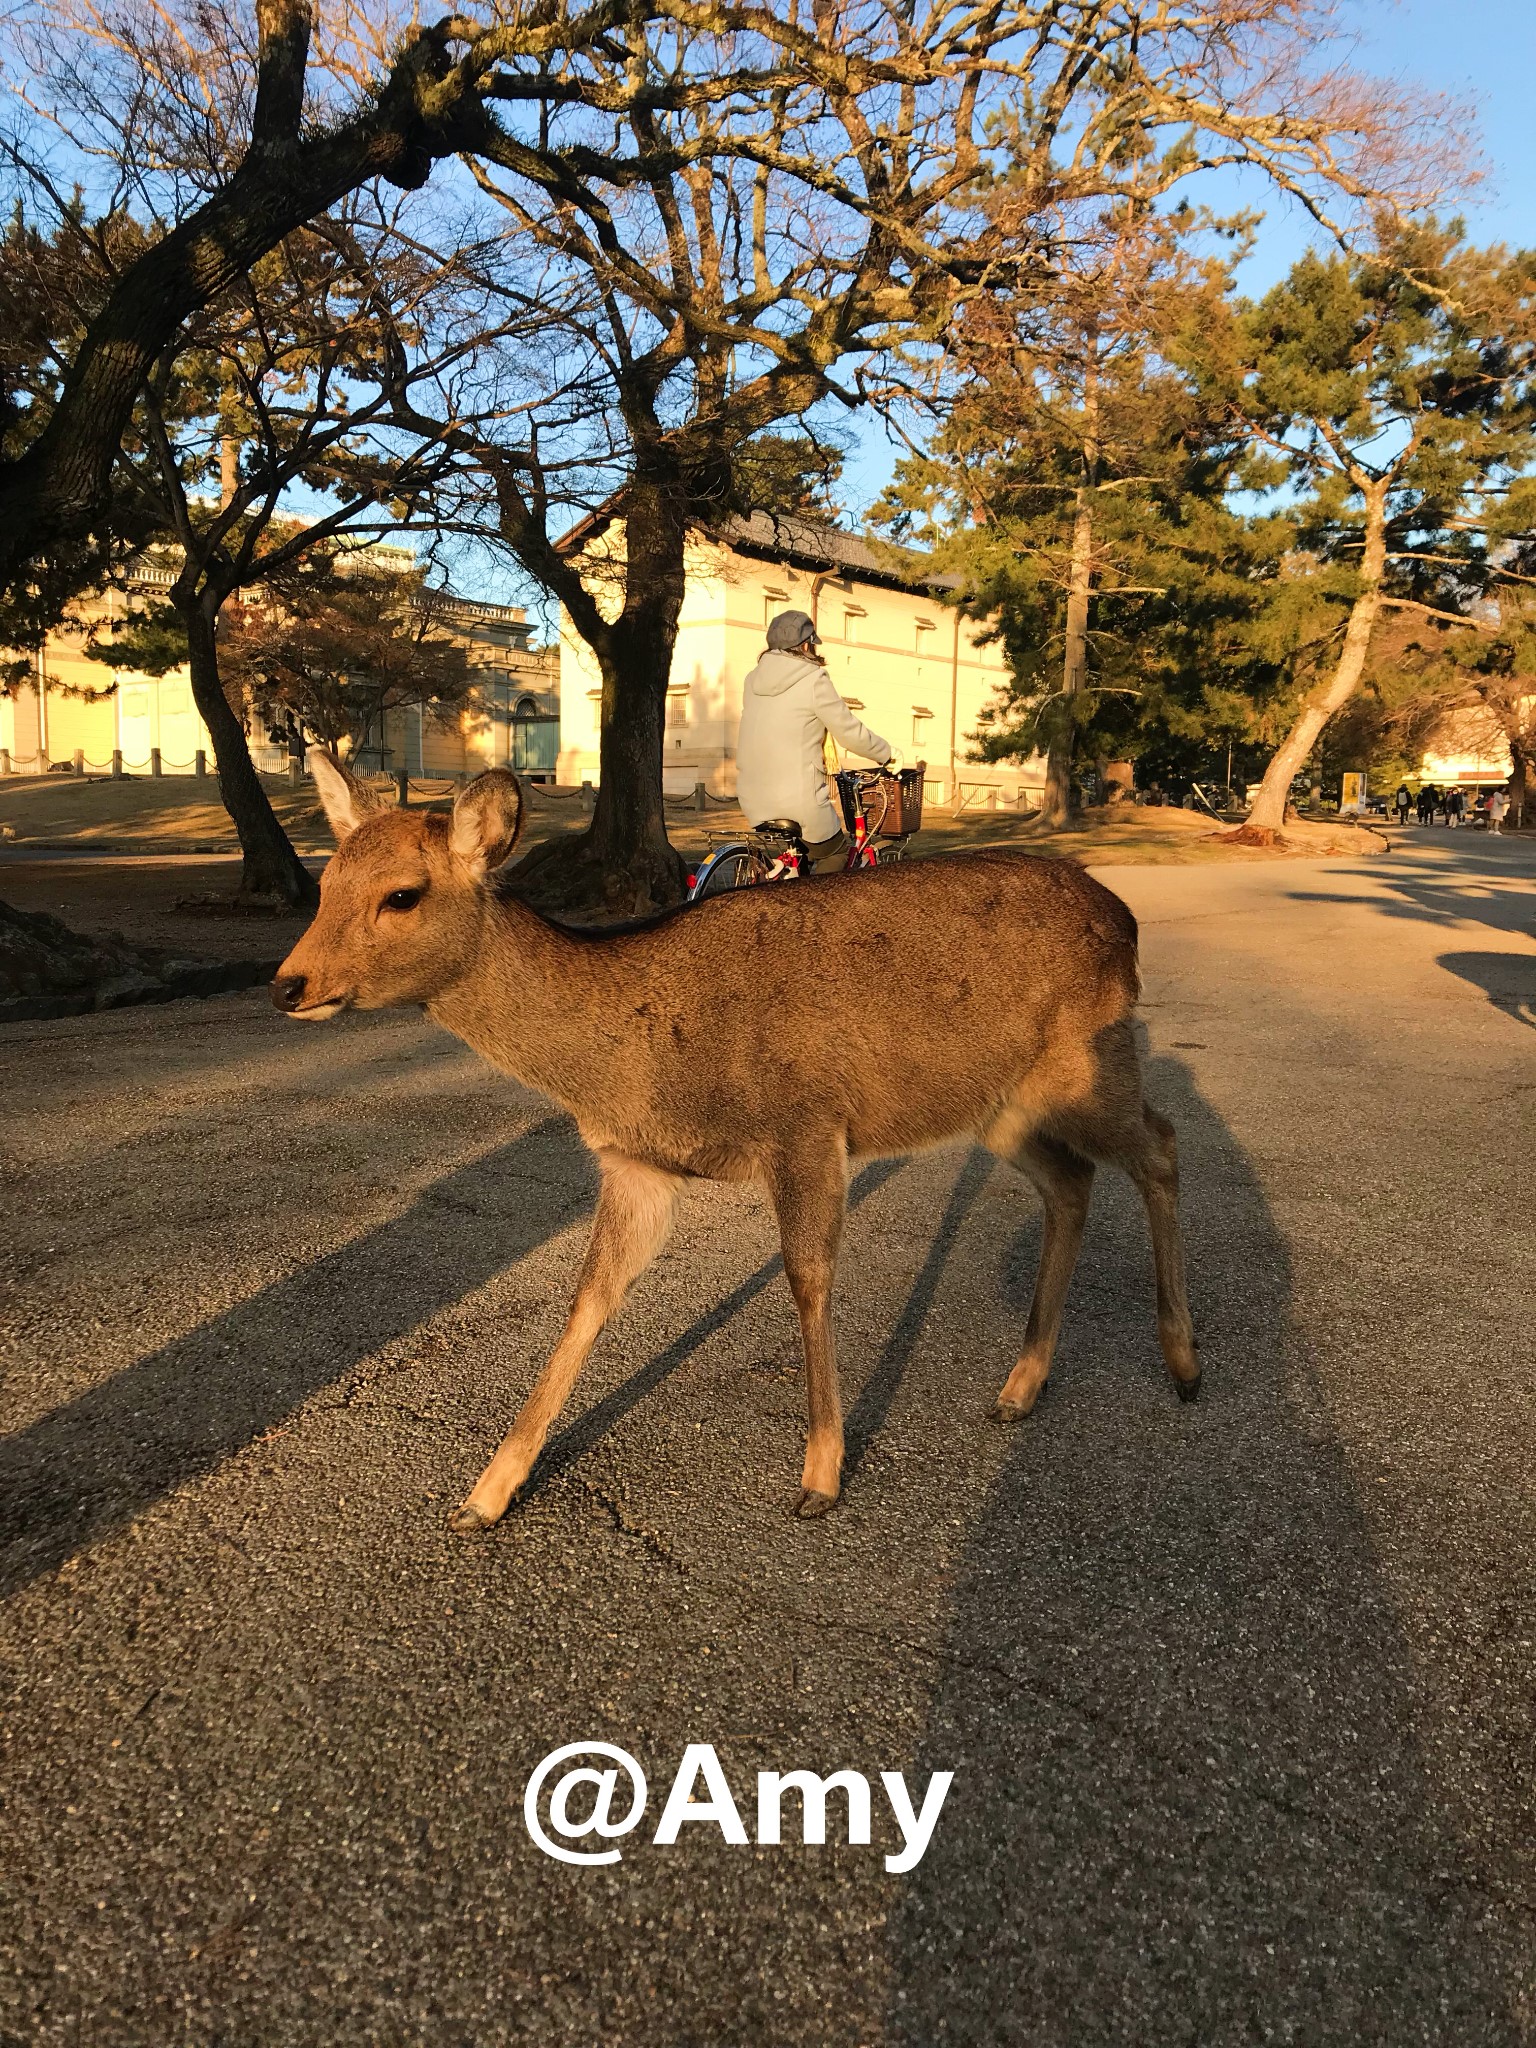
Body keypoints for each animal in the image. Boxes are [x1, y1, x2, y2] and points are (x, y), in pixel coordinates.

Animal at [270, 761, 1196, 1531]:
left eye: (402, 895)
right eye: (325, 880)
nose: (288, 984)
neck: (636, 1064)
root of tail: (1127, 920)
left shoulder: (804, 1126)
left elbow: (808, 1279)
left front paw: (820, 1476)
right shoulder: (636, 1166)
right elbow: (588, 1299)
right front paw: (485, 1494)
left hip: (1089, 1062)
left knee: (1160, 1142)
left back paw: (1183, 1363)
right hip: (1002, 1106)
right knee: (1071, 1181)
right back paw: (1020, 1385)